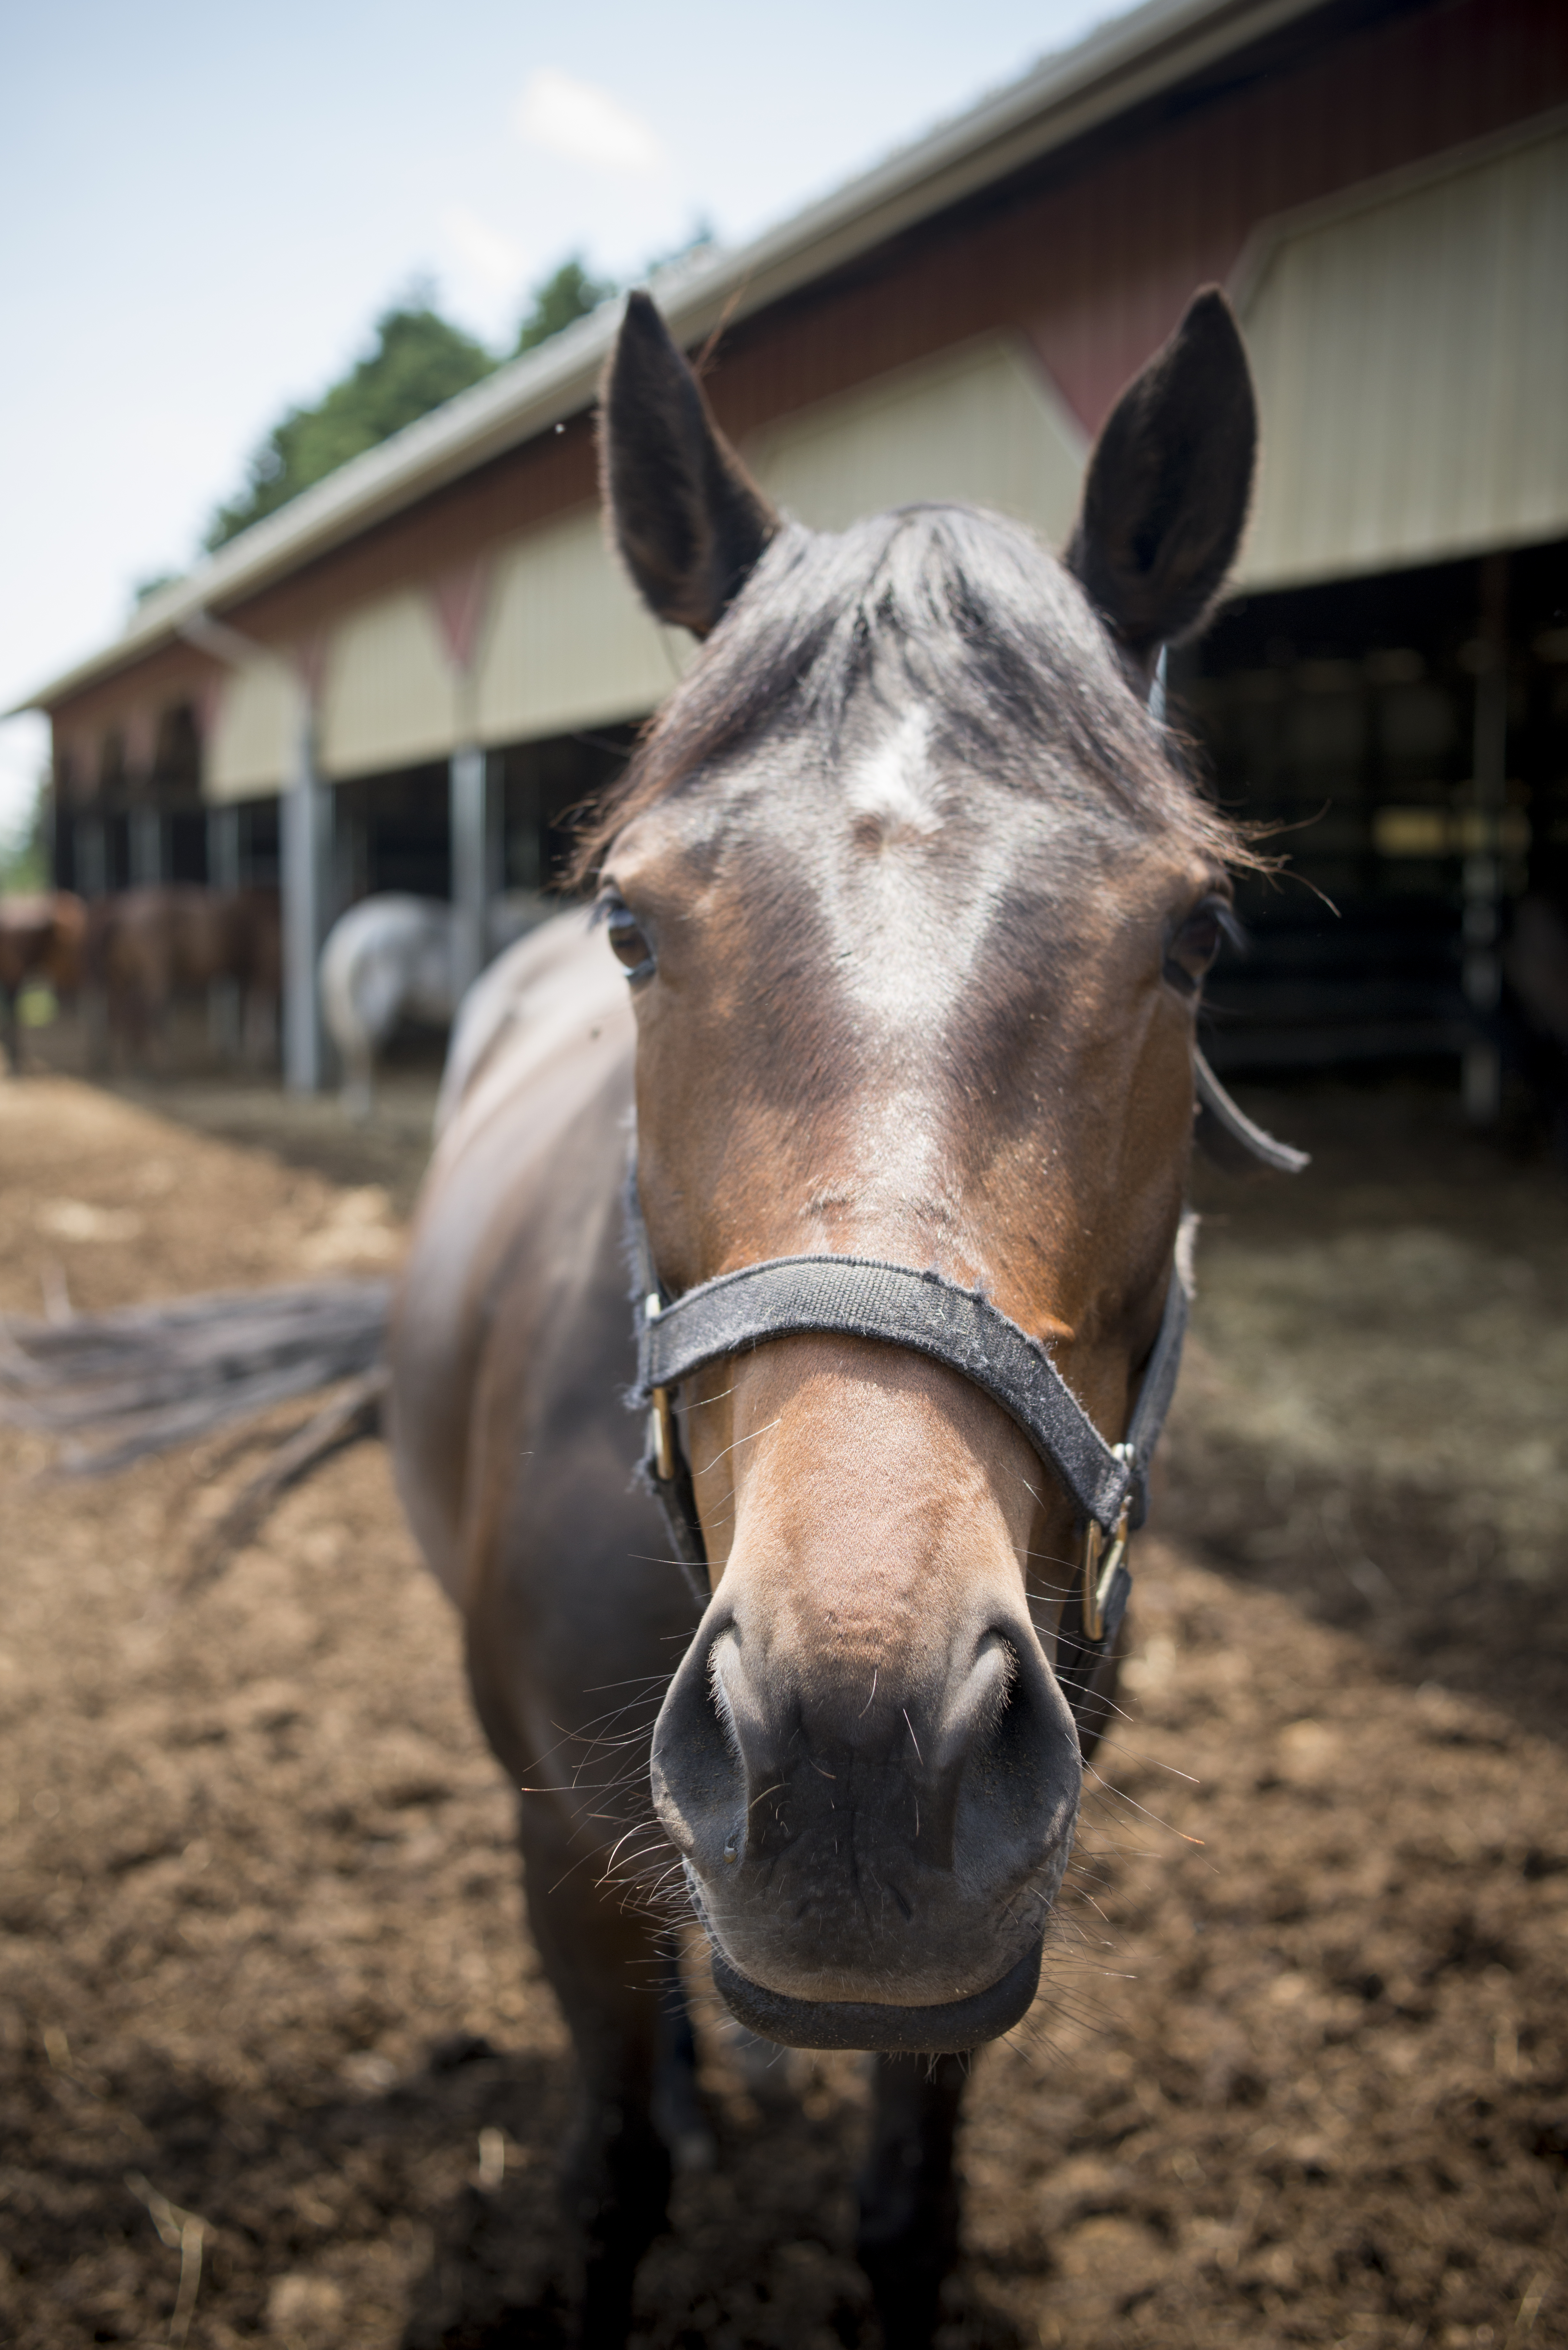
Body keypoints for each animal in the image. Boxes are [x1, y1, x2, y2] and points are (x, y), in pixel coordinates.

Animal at [86, 883, 282, 1076]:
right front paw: (256, 1059)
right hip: (153, 976)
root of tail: (119, 920)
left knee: (120, 1014)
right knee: (146, 1011)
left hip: (120, 981)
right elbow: (259, 1014)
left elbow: (255, 1013)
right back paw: (156, 1064)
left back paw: (124, 1064)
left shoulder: (250, 978)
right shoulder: (265, 974)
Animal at [385, 284, 1269, 2340]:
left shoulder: (975, 1933)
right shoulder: (555, 1848)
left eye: (1191, 940)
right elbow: (609, 2178)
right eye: (632, 923)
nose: (859, 1738)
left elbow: (902, 2211)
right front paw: (661, 2140)